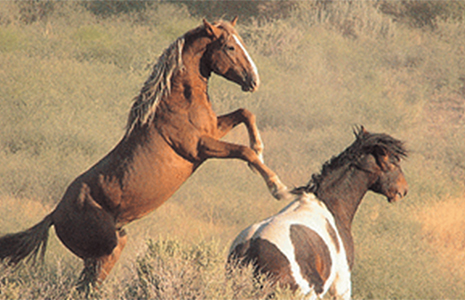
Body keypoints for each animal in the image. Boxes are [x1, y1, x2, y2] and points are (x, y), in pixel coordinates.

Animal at [0, 17, 288, 288]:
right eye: (229, 46)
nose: (254, 80)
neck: (178, 101)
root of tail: (54, 215)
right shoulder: (200, 147)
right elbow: (244, 151)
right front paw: (278, 188)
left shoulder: (214, 130)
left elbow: (245, 114)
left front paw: (260, 147)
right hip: (104, 250)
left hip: (115, 245)